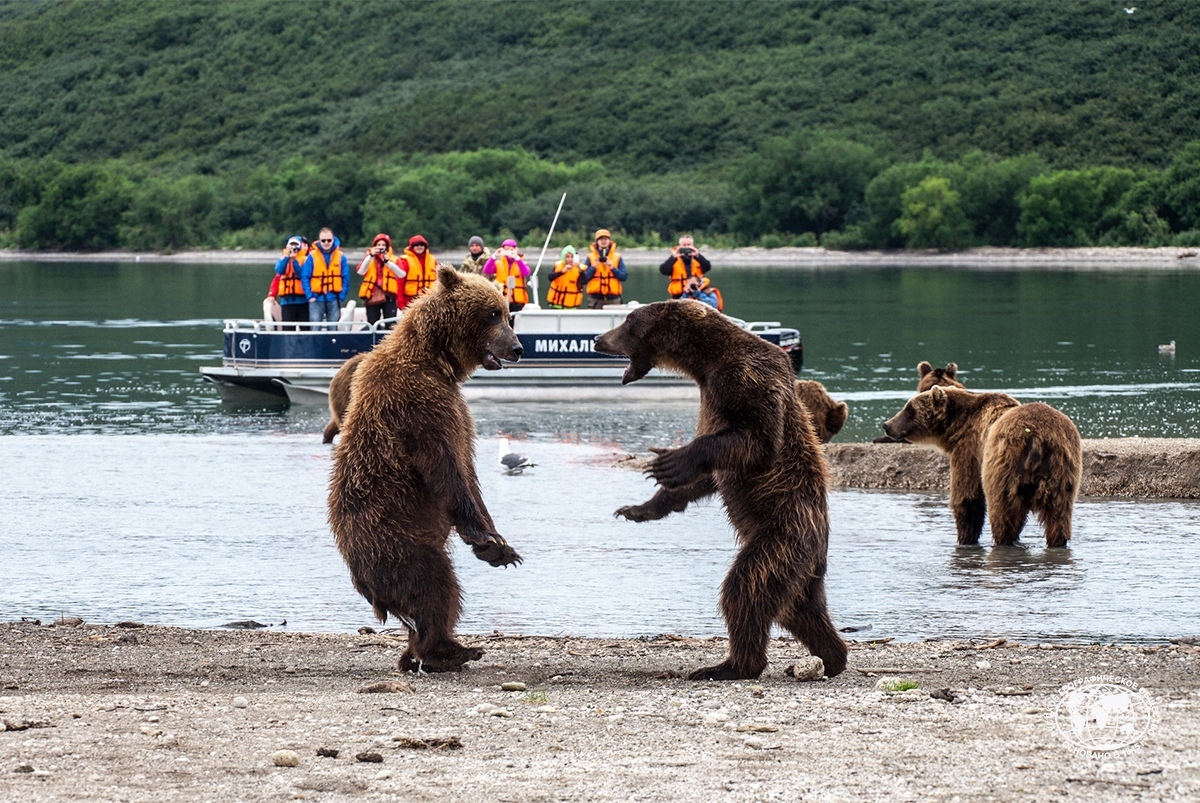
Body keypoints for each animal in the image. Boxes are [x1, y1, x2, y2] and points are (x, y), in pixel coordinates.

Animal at [326, 264, 523, 672]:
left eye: (505, 311)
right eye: (493, 313)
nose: (517, 348)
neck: (435, 361)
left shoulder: (455, 407)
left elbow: (470, 474)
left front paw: (499, 545)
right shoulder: (419, 405)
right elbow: (448, 471)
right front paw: (486, 540)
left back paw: (416, 653)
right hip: (394, 538)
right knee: (435, 585)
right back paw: (448, 650)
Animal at [595, 297, 849, 681]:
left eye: (627, 321)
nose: (598, 338)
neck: (704, 362)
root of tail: (819, 547)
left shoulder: (745, 379)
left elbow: (757, 440)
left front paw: (671, 461)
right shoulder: (711, 394)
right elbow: (710, 476)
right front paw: (638, 508)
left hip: (782, 535)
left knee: (747, 587)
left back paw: (729, 665)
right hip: (802, 570)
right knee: (800, 609)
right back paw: (831, 656)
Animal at [883, 384, 1089, 547]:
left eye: (909, 408)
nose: (887, 424)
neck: (957, 426)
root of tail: (1037, 437)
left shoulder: (970, 450)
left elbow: (967, 496)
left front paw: (965, 539)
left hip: (1004, 465)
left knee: (1002, 510)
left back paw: (1003, 540)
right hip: (1062, 467)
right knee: (1059, 515)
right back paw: (1057, 542)